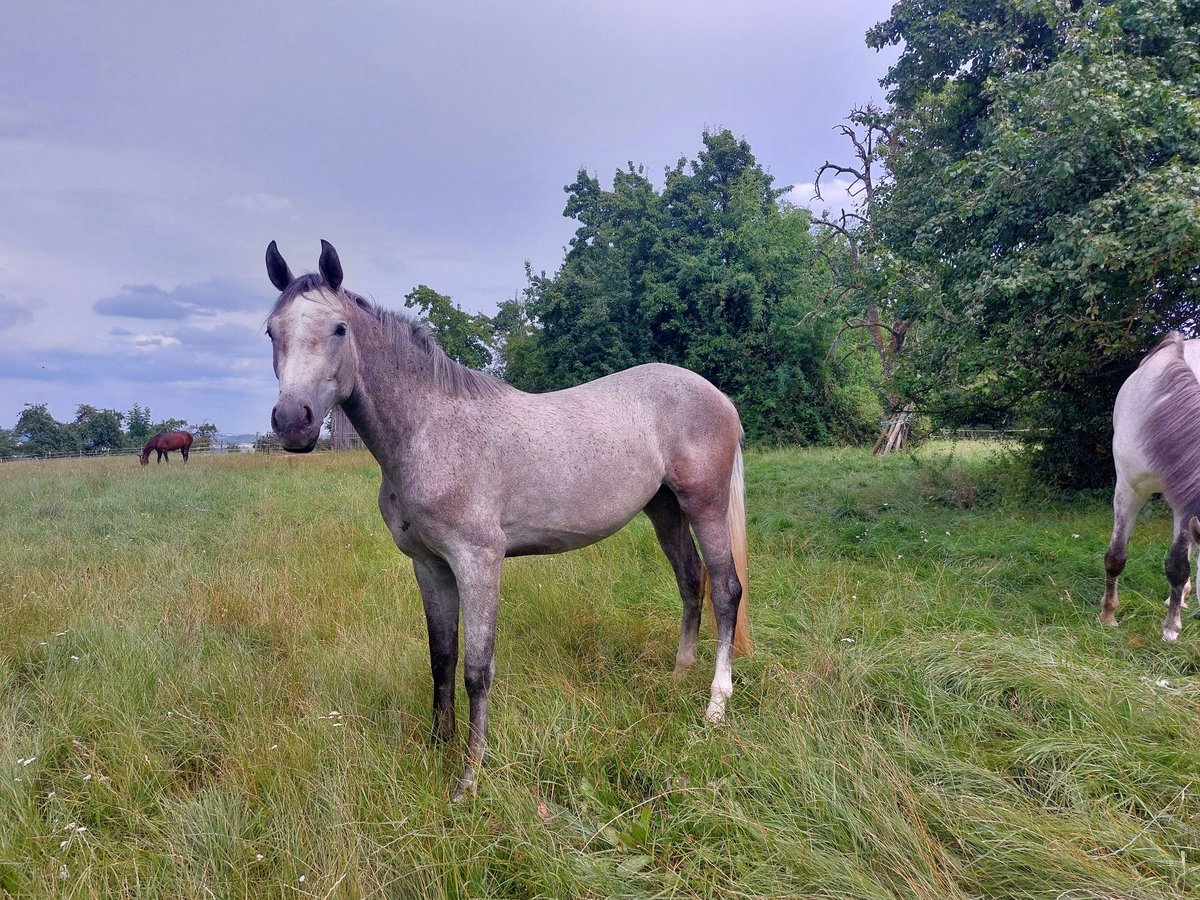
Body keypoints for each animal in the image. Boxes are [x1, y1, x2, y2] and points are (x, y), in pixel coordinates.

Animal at [264, 241, 748, 801]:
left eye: (339, 328)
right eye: (271, 330)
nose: (292, 422)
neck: (430, 432)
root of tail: (716, 395)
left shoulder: (478, 562)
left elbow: (477, 668)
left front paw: (469, 777)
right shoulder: (430, 566)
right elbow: (442, 657)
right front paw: (437, 747)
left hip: (704, 505)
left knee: (726, 590)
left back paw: (716, 706)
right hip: (665, 509)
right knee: (691, 581)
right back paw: (678, 676)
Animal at [1099, 333, 1200, 643]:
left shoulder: (1186, 502)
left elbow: (1178, 565)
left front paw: (1170, 627)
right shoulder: (1128, 489)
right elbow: (1116, 556)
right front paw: (1107, 615)